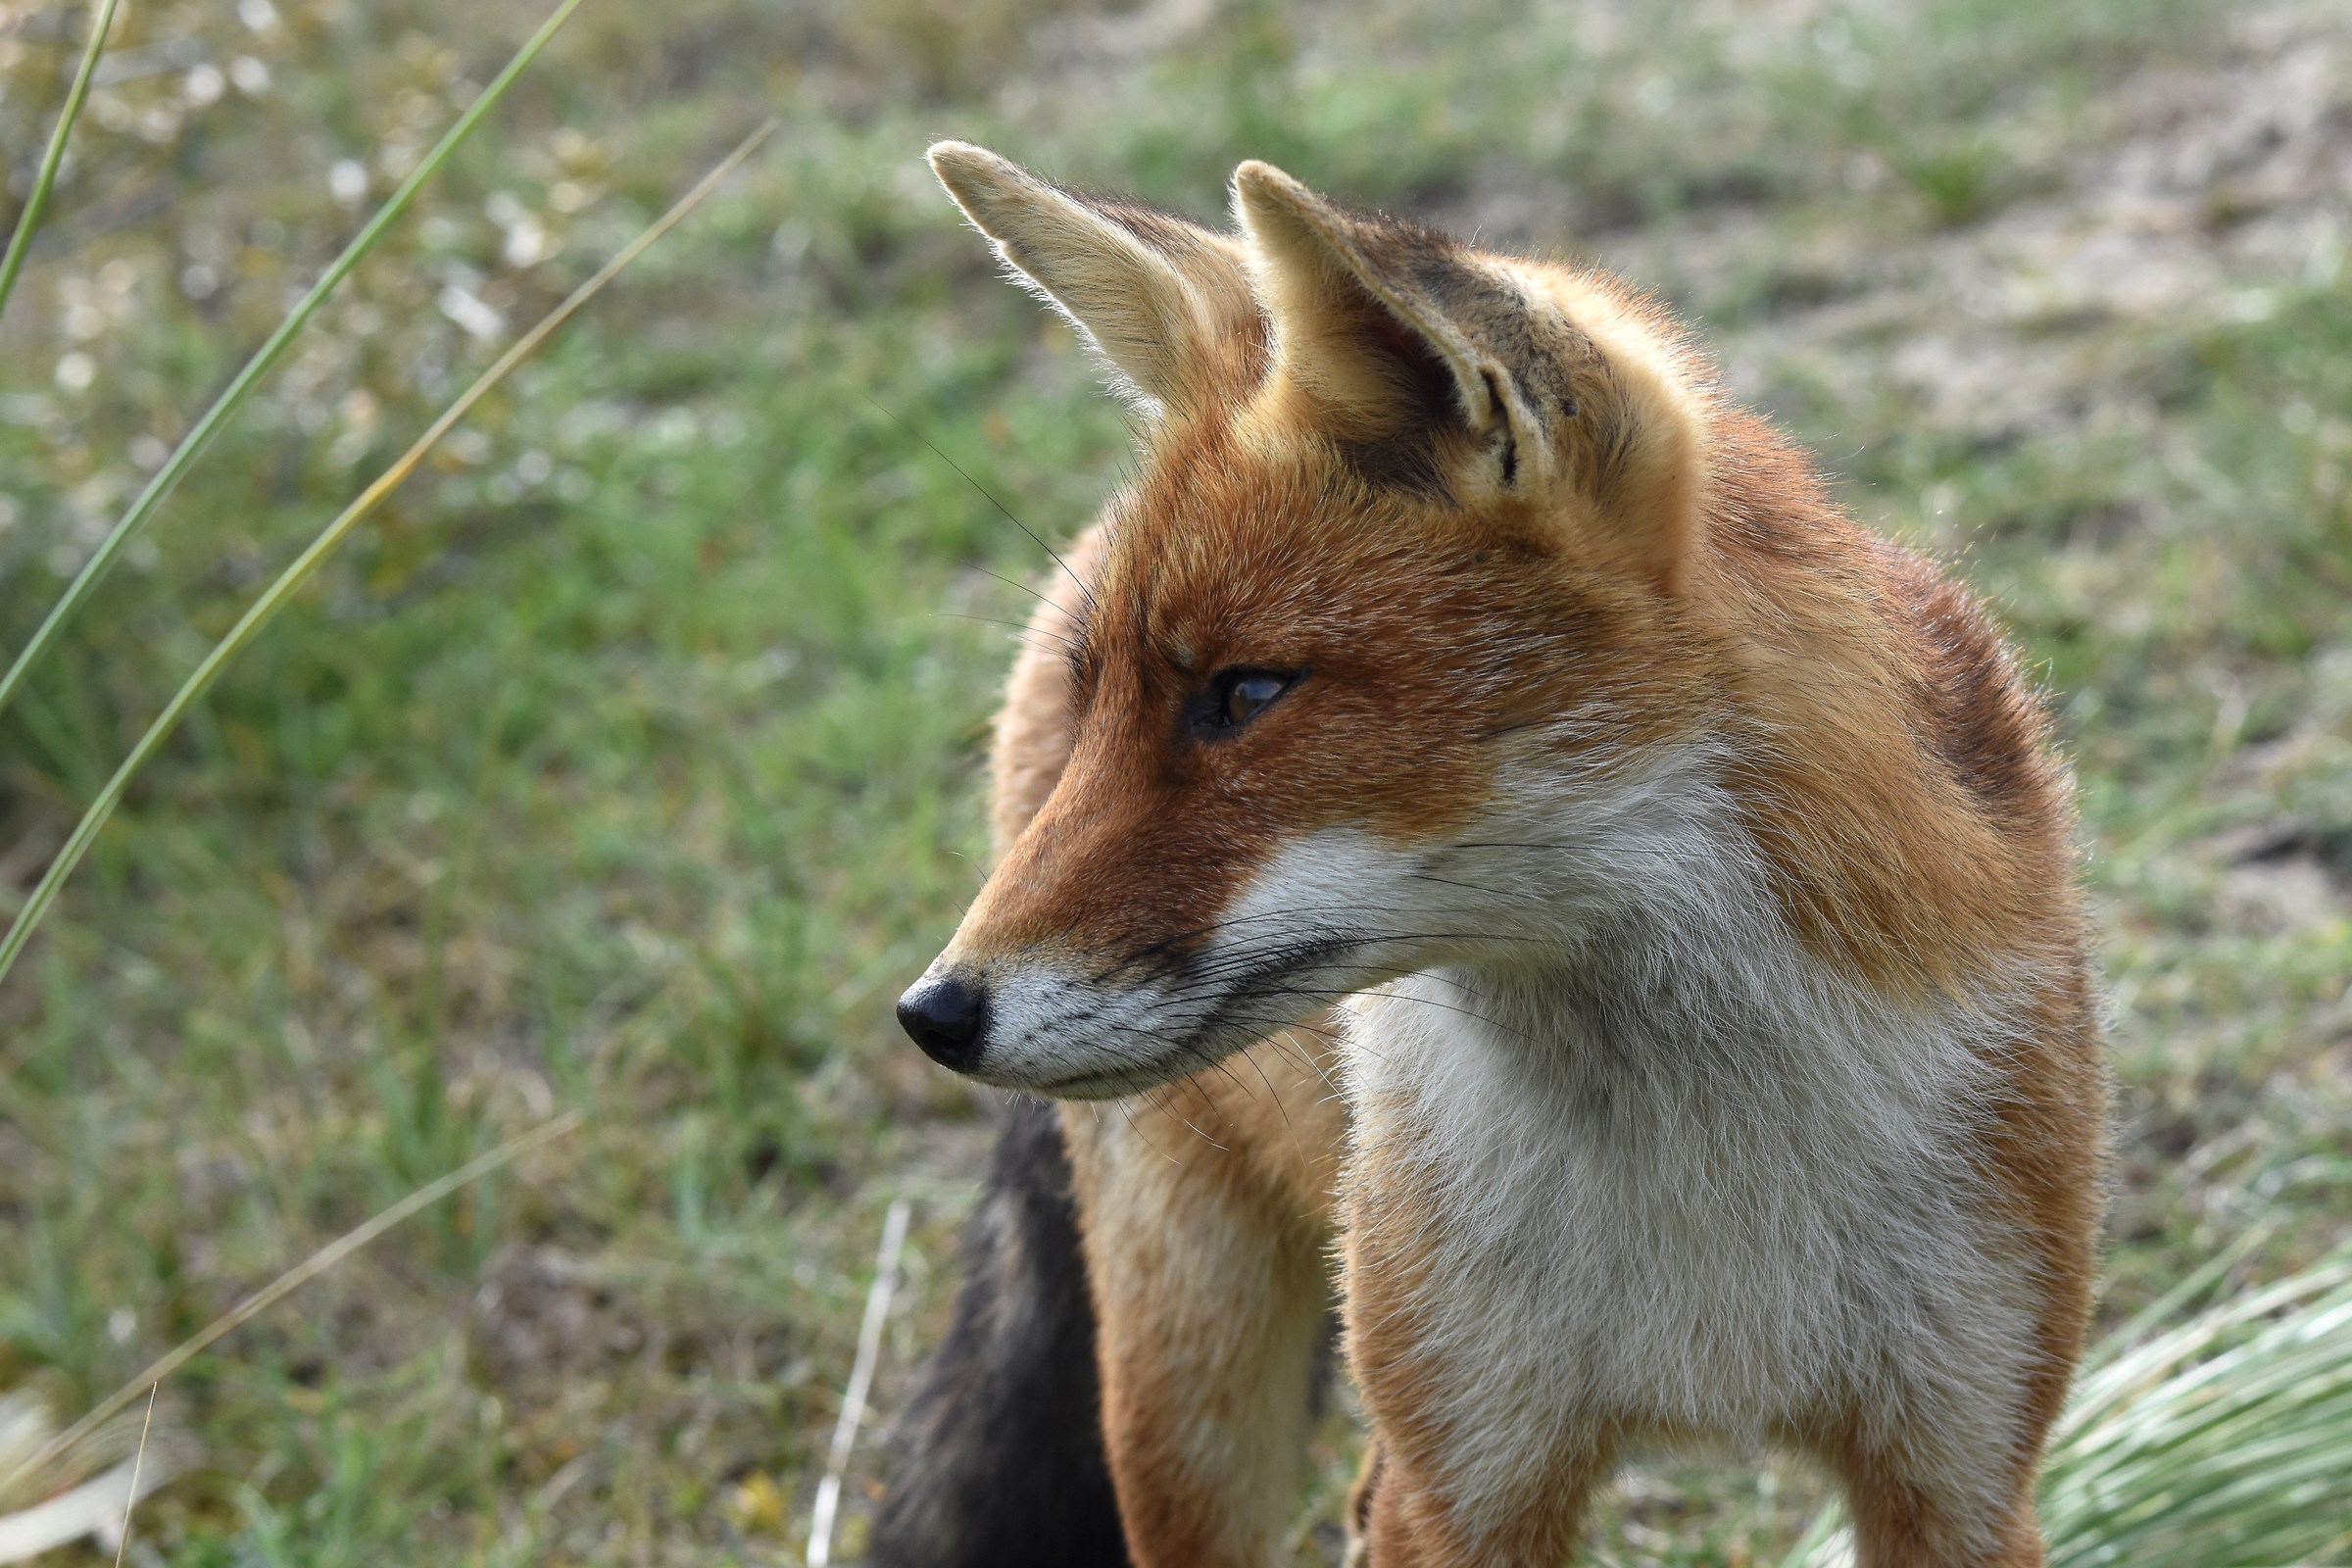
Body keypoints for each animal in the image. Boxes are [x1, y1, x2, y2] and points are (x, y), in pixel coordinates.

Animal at [876, 142, 2108, 1568]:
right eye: (1106, 703)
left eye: (1245, 694)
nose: (933, 1013)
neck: (1702, 1165)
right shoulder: (1467, 1478)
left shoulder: (1961, 1469)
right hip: (1196, 1386)